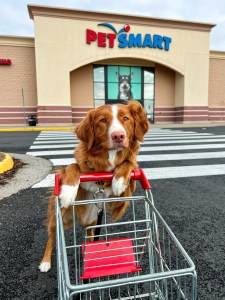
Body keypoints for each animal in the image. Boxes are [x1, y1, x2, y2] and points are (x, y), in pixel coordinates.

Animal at [38, 100, 149, 272]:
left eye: (125, 118)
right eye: (102, 120)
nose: (118, 136)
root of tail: (81, 219)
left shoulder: (123, 196)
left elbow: (128, 164)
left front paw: (119, 180)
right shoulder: (72, 170)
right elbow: (73, 166)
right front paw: (68, 191)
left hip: (94, 220)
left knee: (91, 236)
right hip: (58, 217)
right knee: (52, 236)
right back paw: (45, 262)